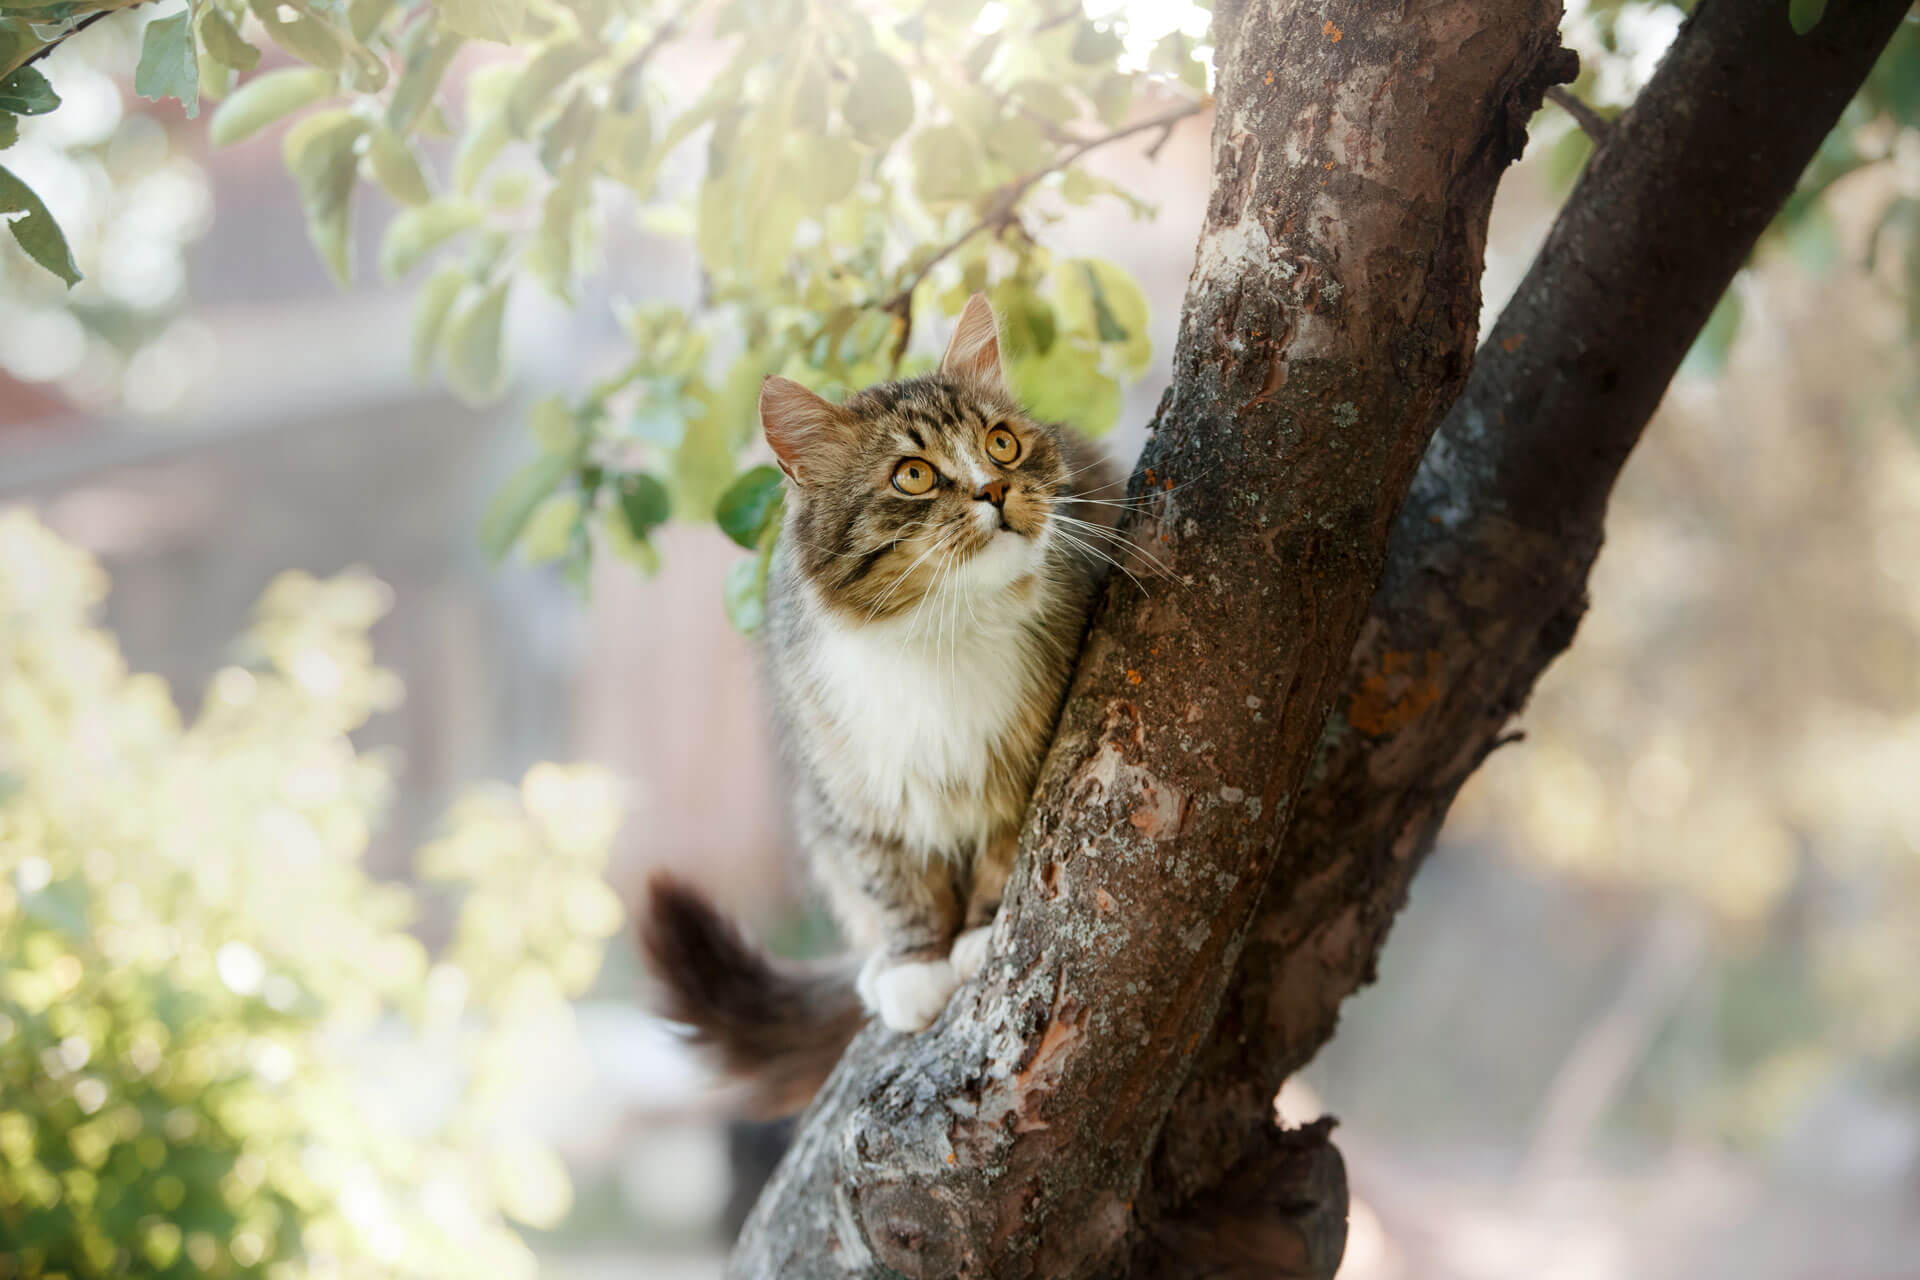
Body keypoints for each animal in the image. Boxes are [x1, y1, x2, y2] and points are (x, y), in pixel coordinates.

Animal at [645, 293, 1121, 1113]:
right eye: (914, 475)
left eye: (1000, 444)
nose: (996, 489)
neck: (942, 631)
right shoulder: (854, 786)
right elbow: (896, 882)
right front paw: (915, 963)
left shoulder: (1032, 757)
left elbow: (1004, 850)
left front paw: (977, 936)